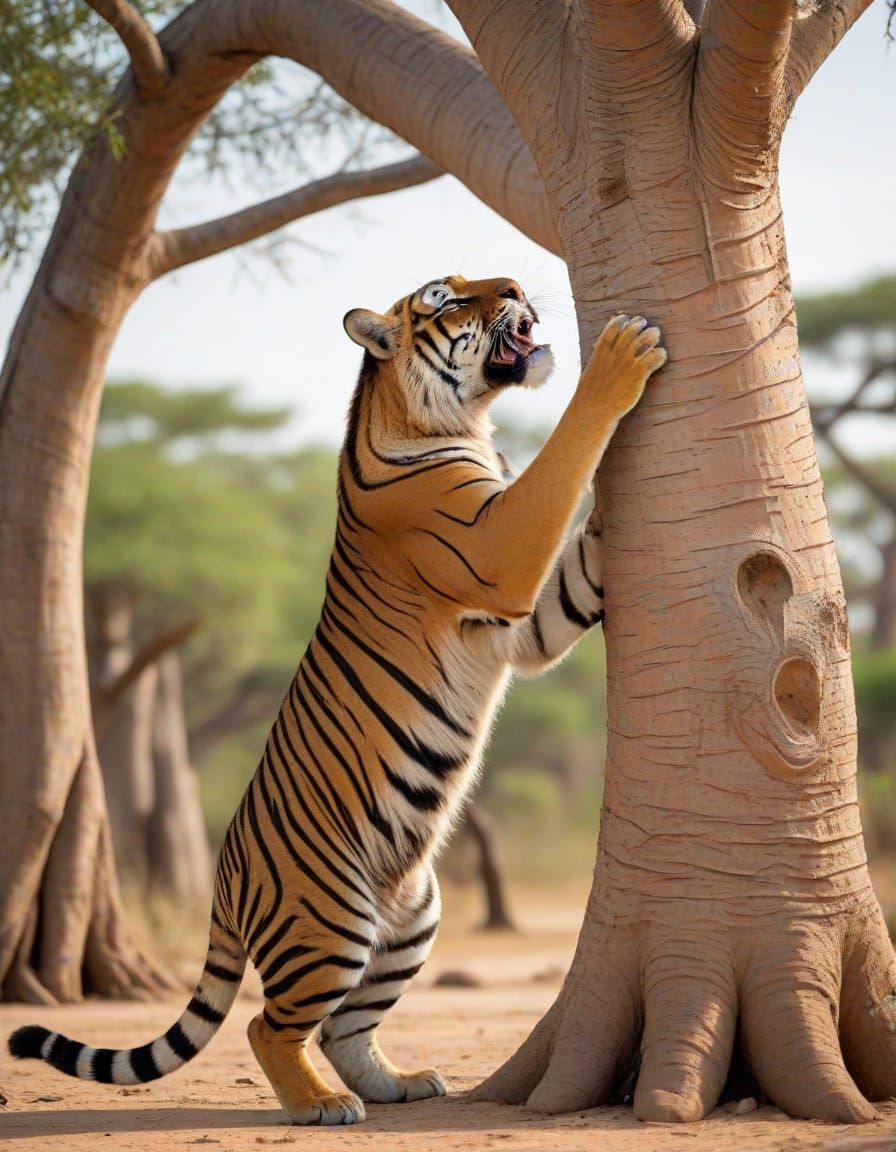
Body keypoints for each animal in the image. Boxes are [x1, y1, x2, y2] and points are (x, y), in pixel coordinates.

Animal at [9, 276, 665, 1125]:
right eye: (444, 297)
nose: (517, 285)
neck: (461, 420)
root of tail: (223, 885)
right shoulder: (497, 555)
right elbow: (566, 453)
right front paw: (620, 359)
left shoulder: (514, 629)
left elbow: (577, 572)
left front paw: (615, 527)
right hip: (332, 922)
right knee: (268, 1026)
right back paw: (322, 1105)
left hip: (413, 917)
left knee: (343, 1028)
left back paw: (399, 1085)